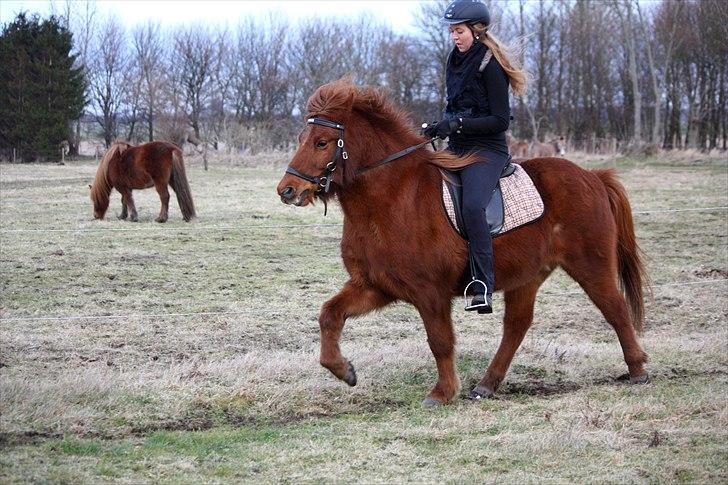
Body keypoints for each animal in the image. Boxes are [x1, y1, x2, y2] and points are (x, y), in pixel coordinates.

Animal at [278, 78, 648, 404]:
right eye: (301, 138)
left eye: (322, 142)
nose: (287, 190)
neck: (391, 198)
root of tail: (593, 177)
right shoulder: (374, 285)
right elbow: (329, 315)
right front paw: (344, 371)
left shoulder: (430, 292)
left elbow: (440, 341)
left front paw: (442, 393)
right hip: (528, 276)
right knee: (516, 327)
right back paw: (487, 384)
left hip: (590, 264)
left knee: (615, 309)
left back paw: (638, 369)